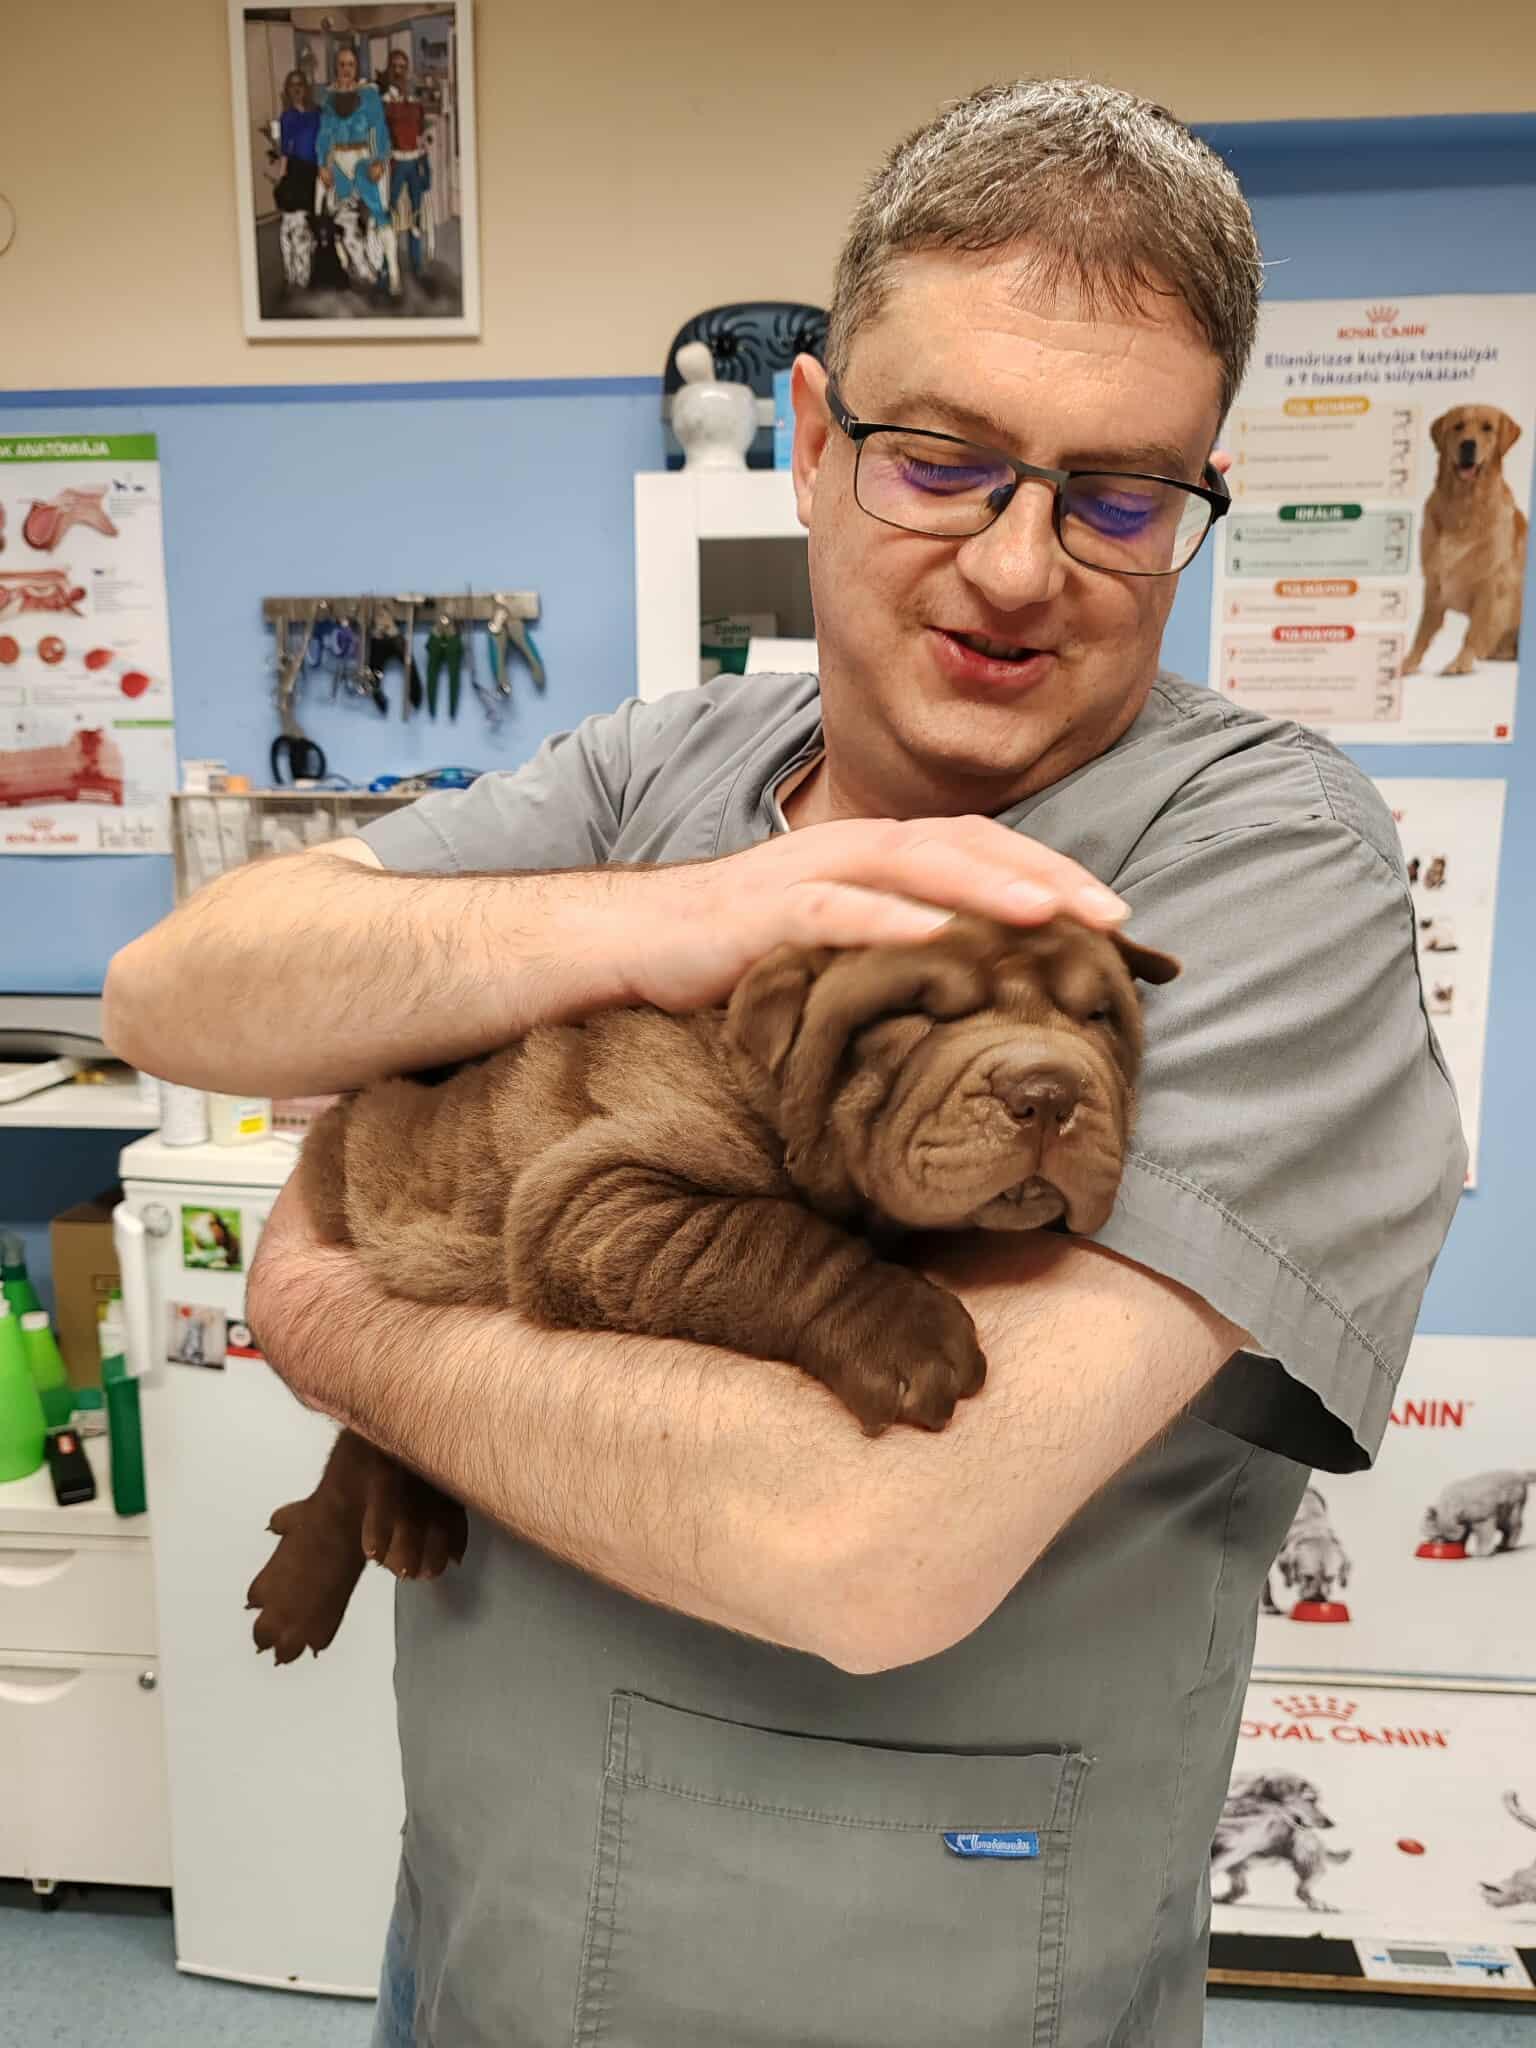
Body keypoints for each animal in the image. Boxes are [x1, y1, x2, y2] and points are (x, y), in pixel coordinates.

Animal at [245, 913, 1177, 1663]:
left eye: (1100, 1017)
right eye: (916, 1014)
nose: (1047, 1091)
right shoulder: (597, 1198)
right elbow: (774, 1239)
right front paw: (907, 1335)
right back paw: (321, 1569)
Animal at [1210, 1773, 1353, 1913]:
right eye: (1311, 1800)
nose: (1331, 1823)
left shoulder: (1237, 1848)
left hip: (1307, 1862)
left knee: (1301, 1890)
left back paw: (1319, 1904)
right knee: (1241, 1888)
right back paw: (1223, 1898)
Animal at [1402, 406, 1526, 678]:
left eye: (1488, 428)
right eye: (1458, 426)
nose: (1468, 445)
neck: (1463, 507)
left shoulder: (1492, 587)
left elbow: (1474, 631)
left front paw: (1460, 662)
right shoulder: (1434, 585)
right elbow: (1422, 633)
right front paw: (1408, 663)